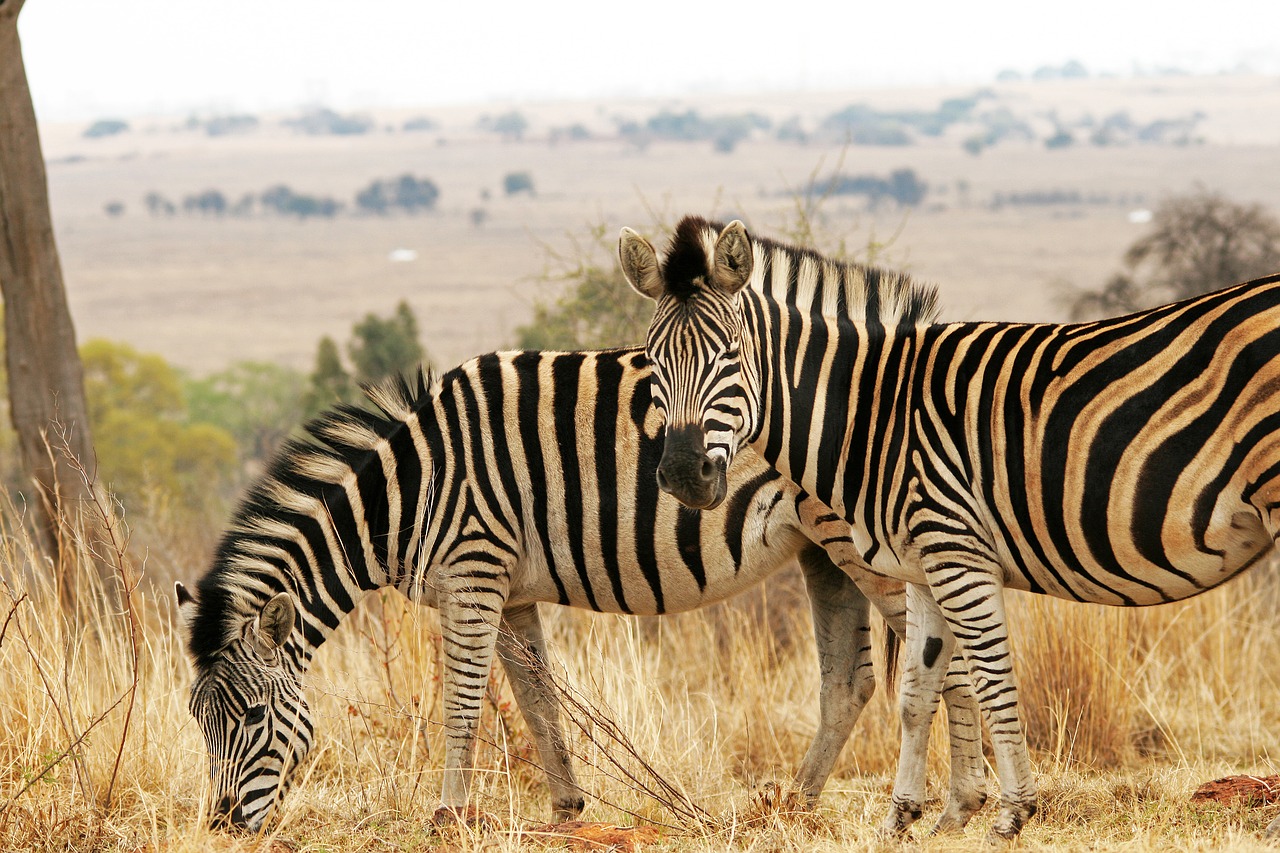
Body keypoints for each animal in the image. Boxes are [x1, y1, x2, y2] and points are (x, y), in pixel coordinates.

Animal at [175, 345, 983, 829]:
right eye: (198, 722)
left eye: (252, 717)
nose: (219, 823)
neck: (408, 494)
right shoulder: (509, 591)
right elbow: (536, 700)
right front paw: (567, 808)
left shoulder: (473, 572)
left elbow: (463, 705)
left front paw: (449, 816)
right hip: (821, 549)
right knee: (849, 680)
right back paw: (792, 806)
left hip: (872, 542)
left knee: (948, 658)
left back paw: (955, 807)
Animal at [624, 216, 1280, 840]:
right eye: (652, 362)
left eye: (729, 357)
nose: (682, 474)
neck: (873, 415)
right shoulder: (923, 566)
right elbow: (918, 692)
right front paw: (902, 818)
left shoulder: (957, 555)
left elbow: (992, 682)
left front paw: (1013, 814)